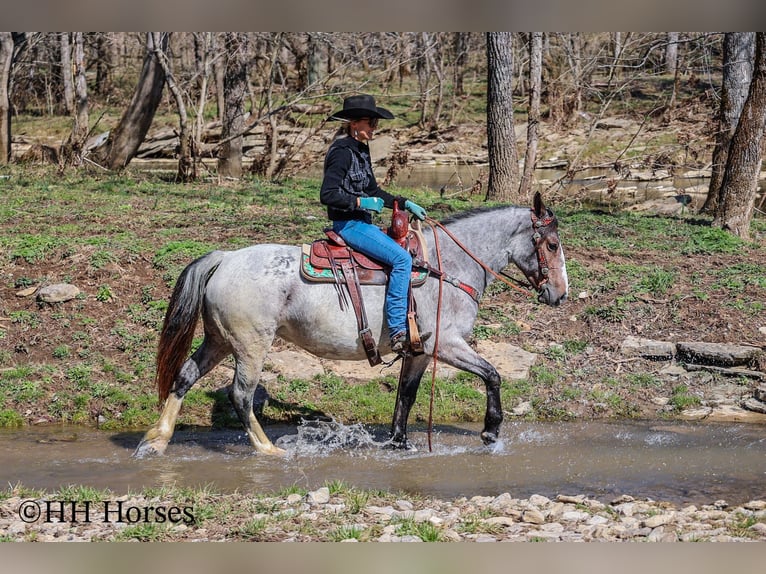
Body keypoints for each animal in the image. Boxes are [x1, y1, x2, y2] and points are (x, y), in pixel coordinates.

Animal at [133, 192, 568, 457]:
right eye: (550, 245)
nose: (560, 294)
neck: (449, 267)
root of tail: (225, 258)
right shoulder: (446, 345)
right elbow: (492, 374)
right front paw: (491, 431)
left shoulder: (419, 352)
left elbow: (406, 396)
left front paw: (398, 442)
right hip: (250, 346)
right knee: (241, 395)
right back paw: (268, 449)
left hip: (219, 341)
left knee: (184, 377)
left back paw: (155, 442)